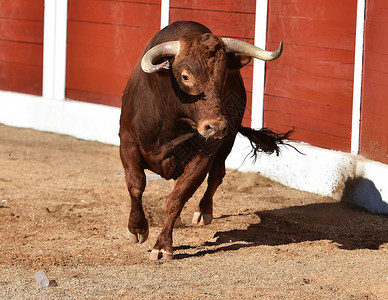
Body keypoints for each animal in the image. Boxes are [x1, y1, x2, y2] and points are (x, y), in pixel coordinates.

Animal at [119, 21, 292, 260]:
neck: (170, 119)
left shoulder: (203, 156)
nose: (216, 126)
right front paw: (136, 229)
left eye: (223, 77)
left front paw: (162, 246)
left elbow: (176, 198)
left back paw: (203, 212)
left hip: (227, 142)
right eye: (185, 76)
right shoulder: (127, 141)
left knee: (217, 175)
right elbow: (135, 184)